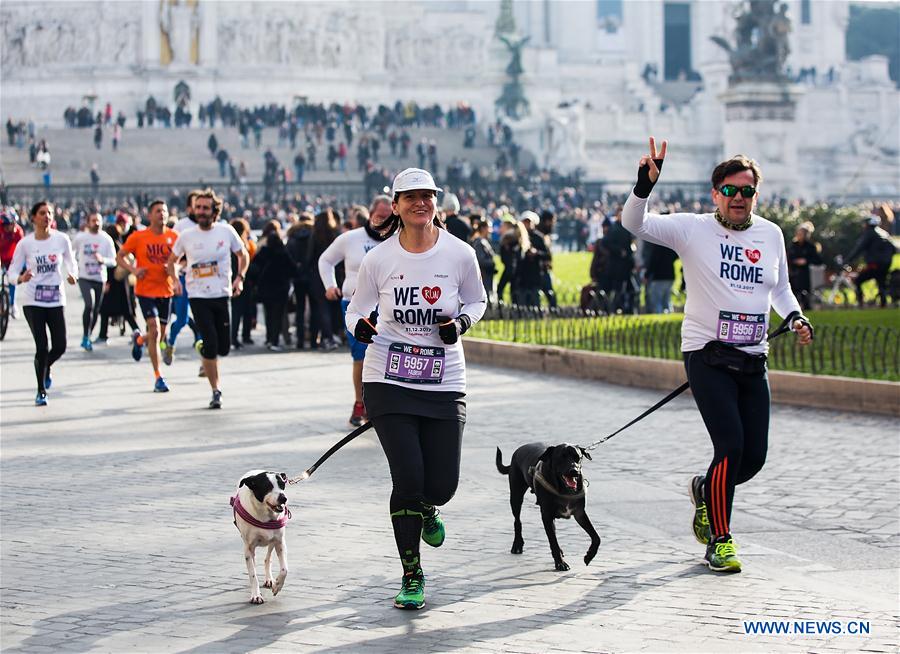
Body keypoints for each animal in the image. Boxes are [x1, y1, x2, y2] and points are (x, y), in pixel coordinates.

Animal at [230, 472, 290, 604]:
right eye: (267, 486)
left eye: (282, 485)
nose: (283, 498)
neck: (264, 515)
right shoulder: (248, 547)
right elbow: (253, 574)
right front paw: (256, 595)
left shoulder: (280, 542)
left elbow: (284, 569)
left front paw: (277, 585)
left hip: (272, 541)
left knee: (268, 558)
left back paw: (269, 579)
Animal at [496, 444, 600, 572]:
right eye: (561, 457)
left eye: (578, 457)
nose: (574, 471)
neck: (564, 489)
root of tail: (519, 450)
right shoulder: (546, 515)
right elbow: (553, 542)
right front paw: (560, 563)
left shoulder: (580, 513)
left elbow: (596, 537)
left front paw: (589, 556)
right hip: (516, 496)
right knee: (517, 521)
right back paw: (517, 545)